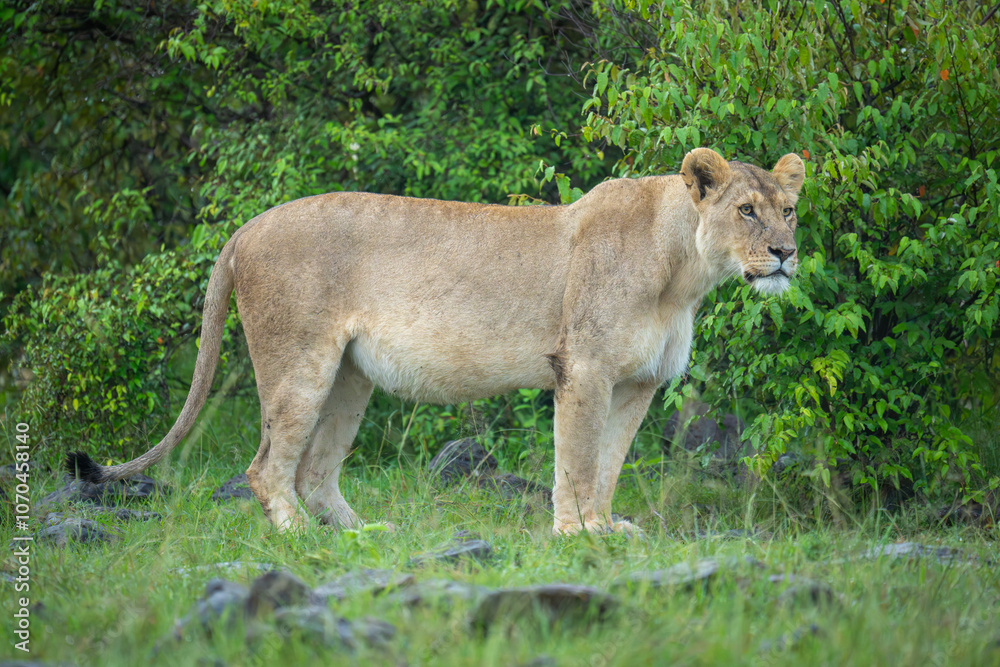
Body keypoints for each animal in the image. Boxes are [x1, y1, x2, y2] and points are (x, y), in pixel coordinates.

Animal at [67, 147, 805, 535]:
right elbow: (576, 459)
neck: (683, 271)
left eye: (789, 210)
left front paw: (604, 527)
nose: (786, 253)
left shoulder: (638, 383)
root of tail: (245, 229)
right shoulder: (584, 368)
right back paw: (302, 540)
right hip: (299, 364)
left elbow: (610, 463)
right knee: (267, 467)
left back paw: (362, 536)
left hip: (349, 376)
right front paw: (574, 534)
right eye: (746, 210)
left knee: (313, 469)